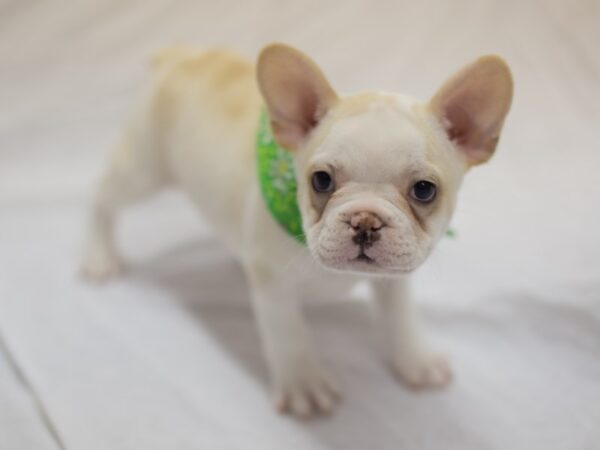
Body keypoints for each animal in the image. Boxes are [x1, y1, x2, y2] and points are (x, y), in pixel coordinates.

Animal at [78, 43, 510, 418]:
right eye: (320, 180)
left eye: (424, 190)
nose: (365, 220)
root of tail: (187, 56)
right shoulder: (273, 285)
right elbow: (288, 333)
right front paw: (304, 384)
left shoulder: (395, 278)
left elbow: (400, 317)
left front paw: (415, 359)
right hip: (144, 167)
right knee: (102, 196)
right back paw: (98, 255)